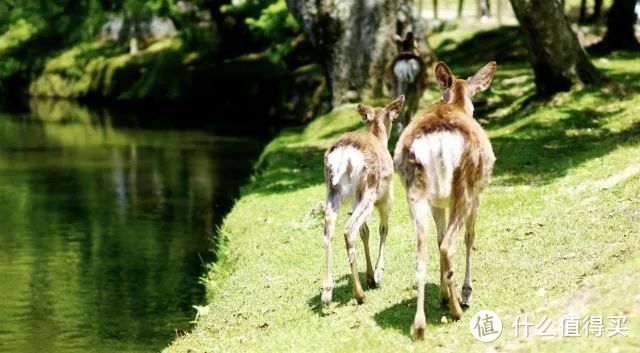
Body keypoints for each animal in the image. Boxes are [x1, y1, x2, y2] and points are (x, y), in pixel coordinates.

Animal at [320, 94, 404, 306]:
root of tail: (344, 156)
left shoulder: (353, 200)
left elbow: (365, 231)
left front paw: (370, 276)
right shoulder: (387, 195)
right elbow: (383, 228)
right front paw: (378, 274)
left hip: (334, 191)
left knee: (328, 230)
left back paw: (326, 294)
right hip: (369, 190)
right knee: (349, 230)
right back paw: (359, 294)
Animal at [392, 60, 498, 338]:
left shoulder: (438, 204)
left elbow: (439, 237)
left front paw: (441, 294)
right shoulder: (479, 194)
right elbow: (470, 237)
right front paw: (466, 292)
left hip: (415, 191)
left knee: (423, 250)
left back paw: (419, 325)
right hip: (465, 186)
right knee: (449, 245)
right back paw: (457, 310)